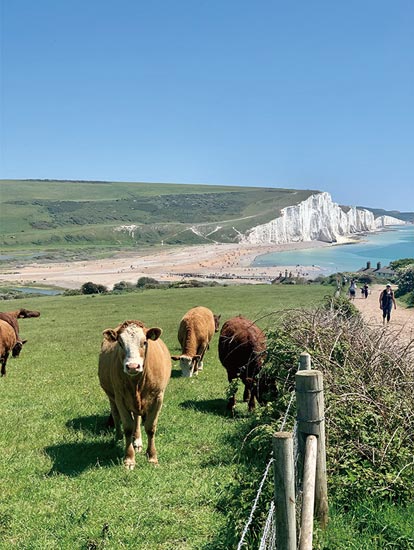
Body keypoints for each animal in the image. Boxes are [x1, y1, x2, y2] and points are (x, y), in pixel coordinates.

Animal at [98, 320, 171, 470]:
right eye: (120, 343)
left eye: (144, 342)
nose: (132, 366)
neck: (137, 383)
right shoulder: (120, 398)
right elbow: (127, 427)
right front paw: (129, 459)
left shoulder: (158, 398)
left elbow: (150, 427)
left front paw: (152, 456)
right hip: (112, 397)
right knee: (116, 415)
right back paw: (118, 437)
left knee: (137, 419)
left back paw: (137, 441)